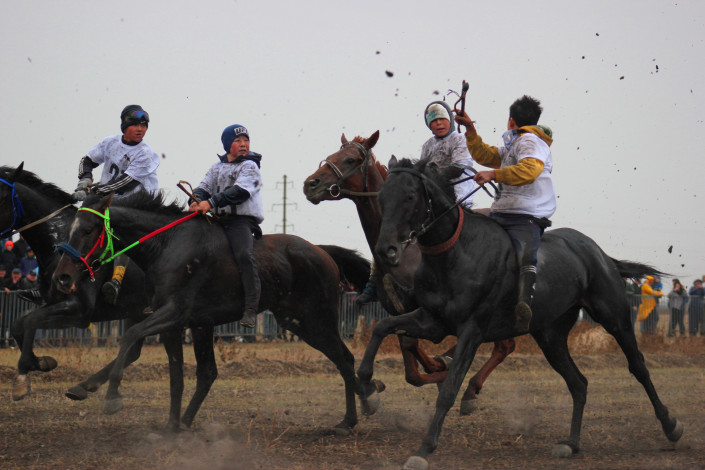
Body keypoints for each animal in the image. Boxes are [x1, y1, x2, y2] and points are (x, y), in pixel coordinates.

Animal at [0, 164, 151, 401]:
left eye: (2, 197)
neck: (58, 243)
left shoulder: (79, 310)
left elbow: (31, 321)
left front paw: (23, 376)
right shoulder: (52, 301)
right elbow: (18, 324)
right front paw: (40, 362)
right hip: (138, 311)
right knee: (132, 351)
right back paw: (84, 386)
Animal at [52, 191, 375, 433]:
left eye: (88, 230)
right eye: (68, 229)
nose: (62, 277)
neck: (167, 245)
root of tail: (322, 251)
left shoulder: (174, 313)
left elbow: (131, 336)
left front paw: (111, 397)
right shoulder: (176, 324)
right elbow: (177, 376)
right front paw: (172, 425)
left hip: (314, 320)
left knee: (344, 358)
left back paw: (354, 415)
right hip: (292, 321)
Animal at [303, 131, 515, 414]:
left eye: (349, 159)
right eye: (331, 155)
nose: (310, 184)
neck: (405, 253)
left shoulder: (429, 310)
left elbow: (417, 351)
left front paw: (440, 368)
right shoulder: (399, 310)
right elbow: (409, 362)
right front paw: (374, 388)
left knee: (504, 344)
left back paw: (469, 389)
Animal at [356, 157, 683, 470]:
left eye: (411, 195)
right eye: (382, 197)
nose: (386, 250)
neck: (457, 254)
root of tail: (600, 253)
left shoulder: (472, 330)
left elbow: (448, 388)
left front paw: (424, 449)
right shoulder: (433, 321)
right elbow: (382, 327)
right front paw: (367, 388)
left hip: (614, 317)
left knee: (638, 366)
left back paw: (670, 425)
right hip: (551, 336)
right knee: (578, 383)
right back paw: (571, 443)